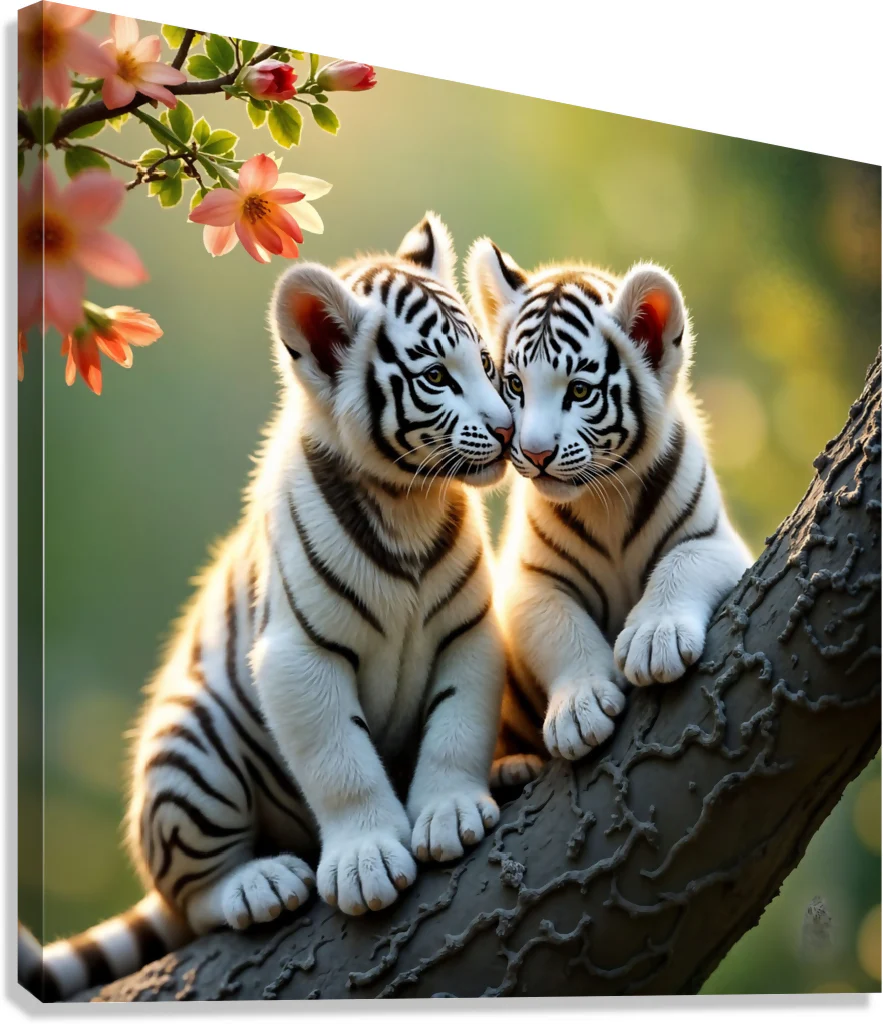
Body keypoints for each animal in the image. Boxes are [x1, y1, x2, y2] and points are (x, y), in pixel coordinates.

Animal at [21, 214, 515, 1001]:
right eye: (438, 377)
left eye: (491, 367)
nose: (505, 430)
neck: (405, 503)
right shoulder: (297, 656)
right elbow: (341, 762)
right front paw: (367, 860)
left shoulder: (468, 632)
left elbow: (455, 726)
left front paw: (449, 810)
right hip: (190, 750)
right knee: (194, 898)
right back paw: (260, 885)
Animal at [466, 239, 753, 769]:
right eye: (515, 385)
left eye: (579, 390)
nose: (535, 453)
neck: (606, 499)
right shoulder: (530, 581)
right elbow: (561, 630)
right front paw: (579, 710)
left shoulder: (716, 542)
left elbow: (681, 565)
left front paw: (654, 640)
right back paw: (513, 768)